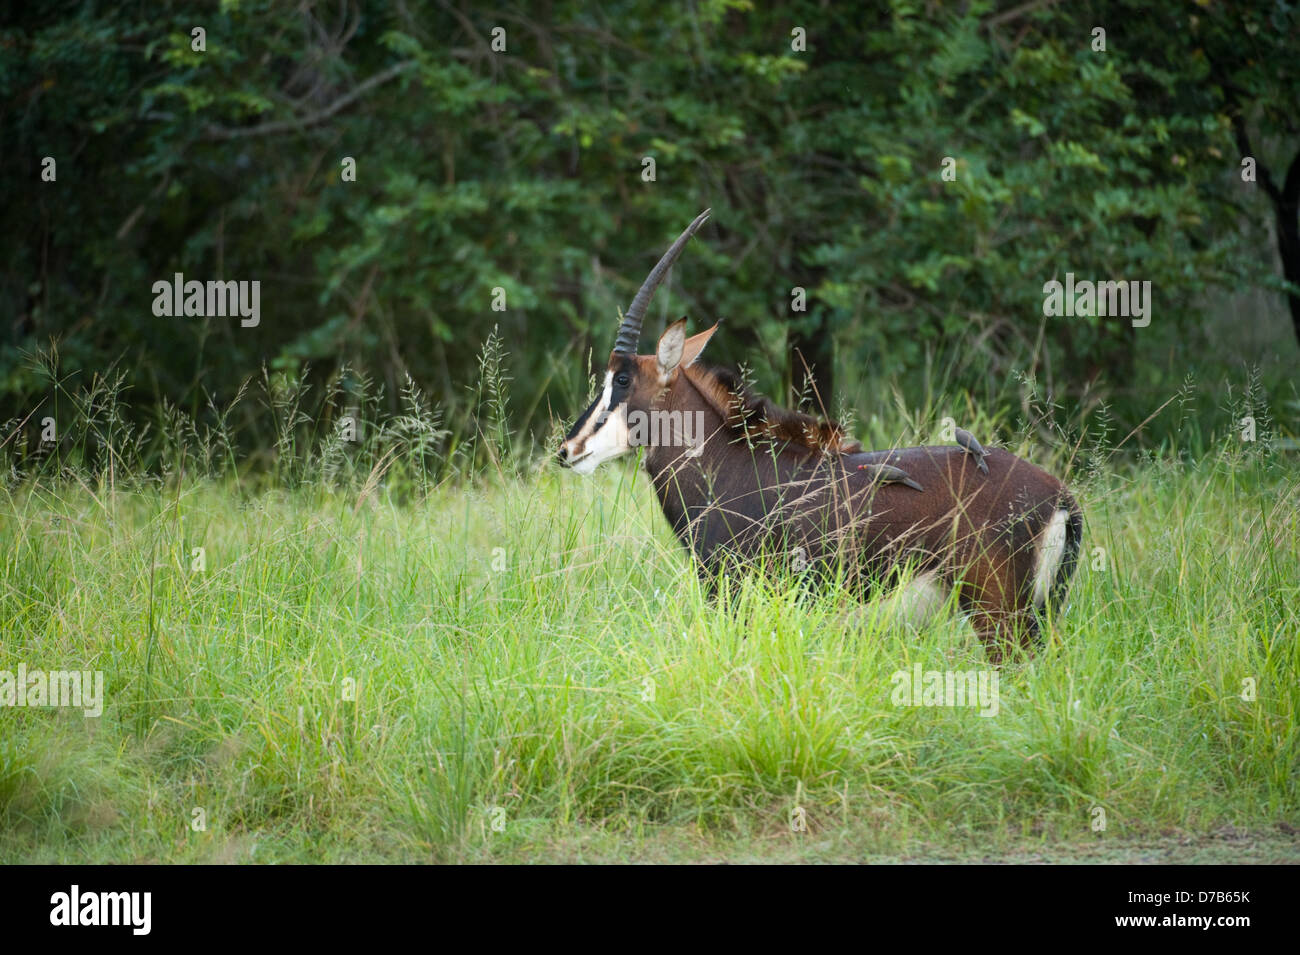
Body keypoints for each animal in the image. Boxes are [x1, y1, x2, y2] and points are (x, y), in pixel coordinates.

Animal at [564, 207, 1081, 657]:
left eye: (622, 380)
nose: (569, 449)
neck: (730, 465)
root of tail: (1060, 498)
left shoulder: (735, 596)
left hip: (998, 615)